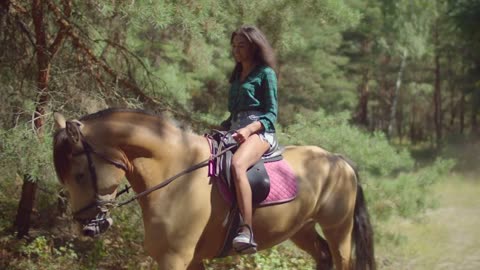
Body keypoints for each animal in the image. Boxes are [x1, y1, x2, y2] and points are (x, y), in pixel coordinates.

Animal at [52, 108, 376, 270]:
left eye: (79, 174)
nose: (86, 226)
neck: (176, 172)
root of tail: (340, 161)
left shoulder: (175, 258)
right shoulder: (191, 258)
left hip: (338, 229)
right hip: (302, 228)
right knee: (322, 256)